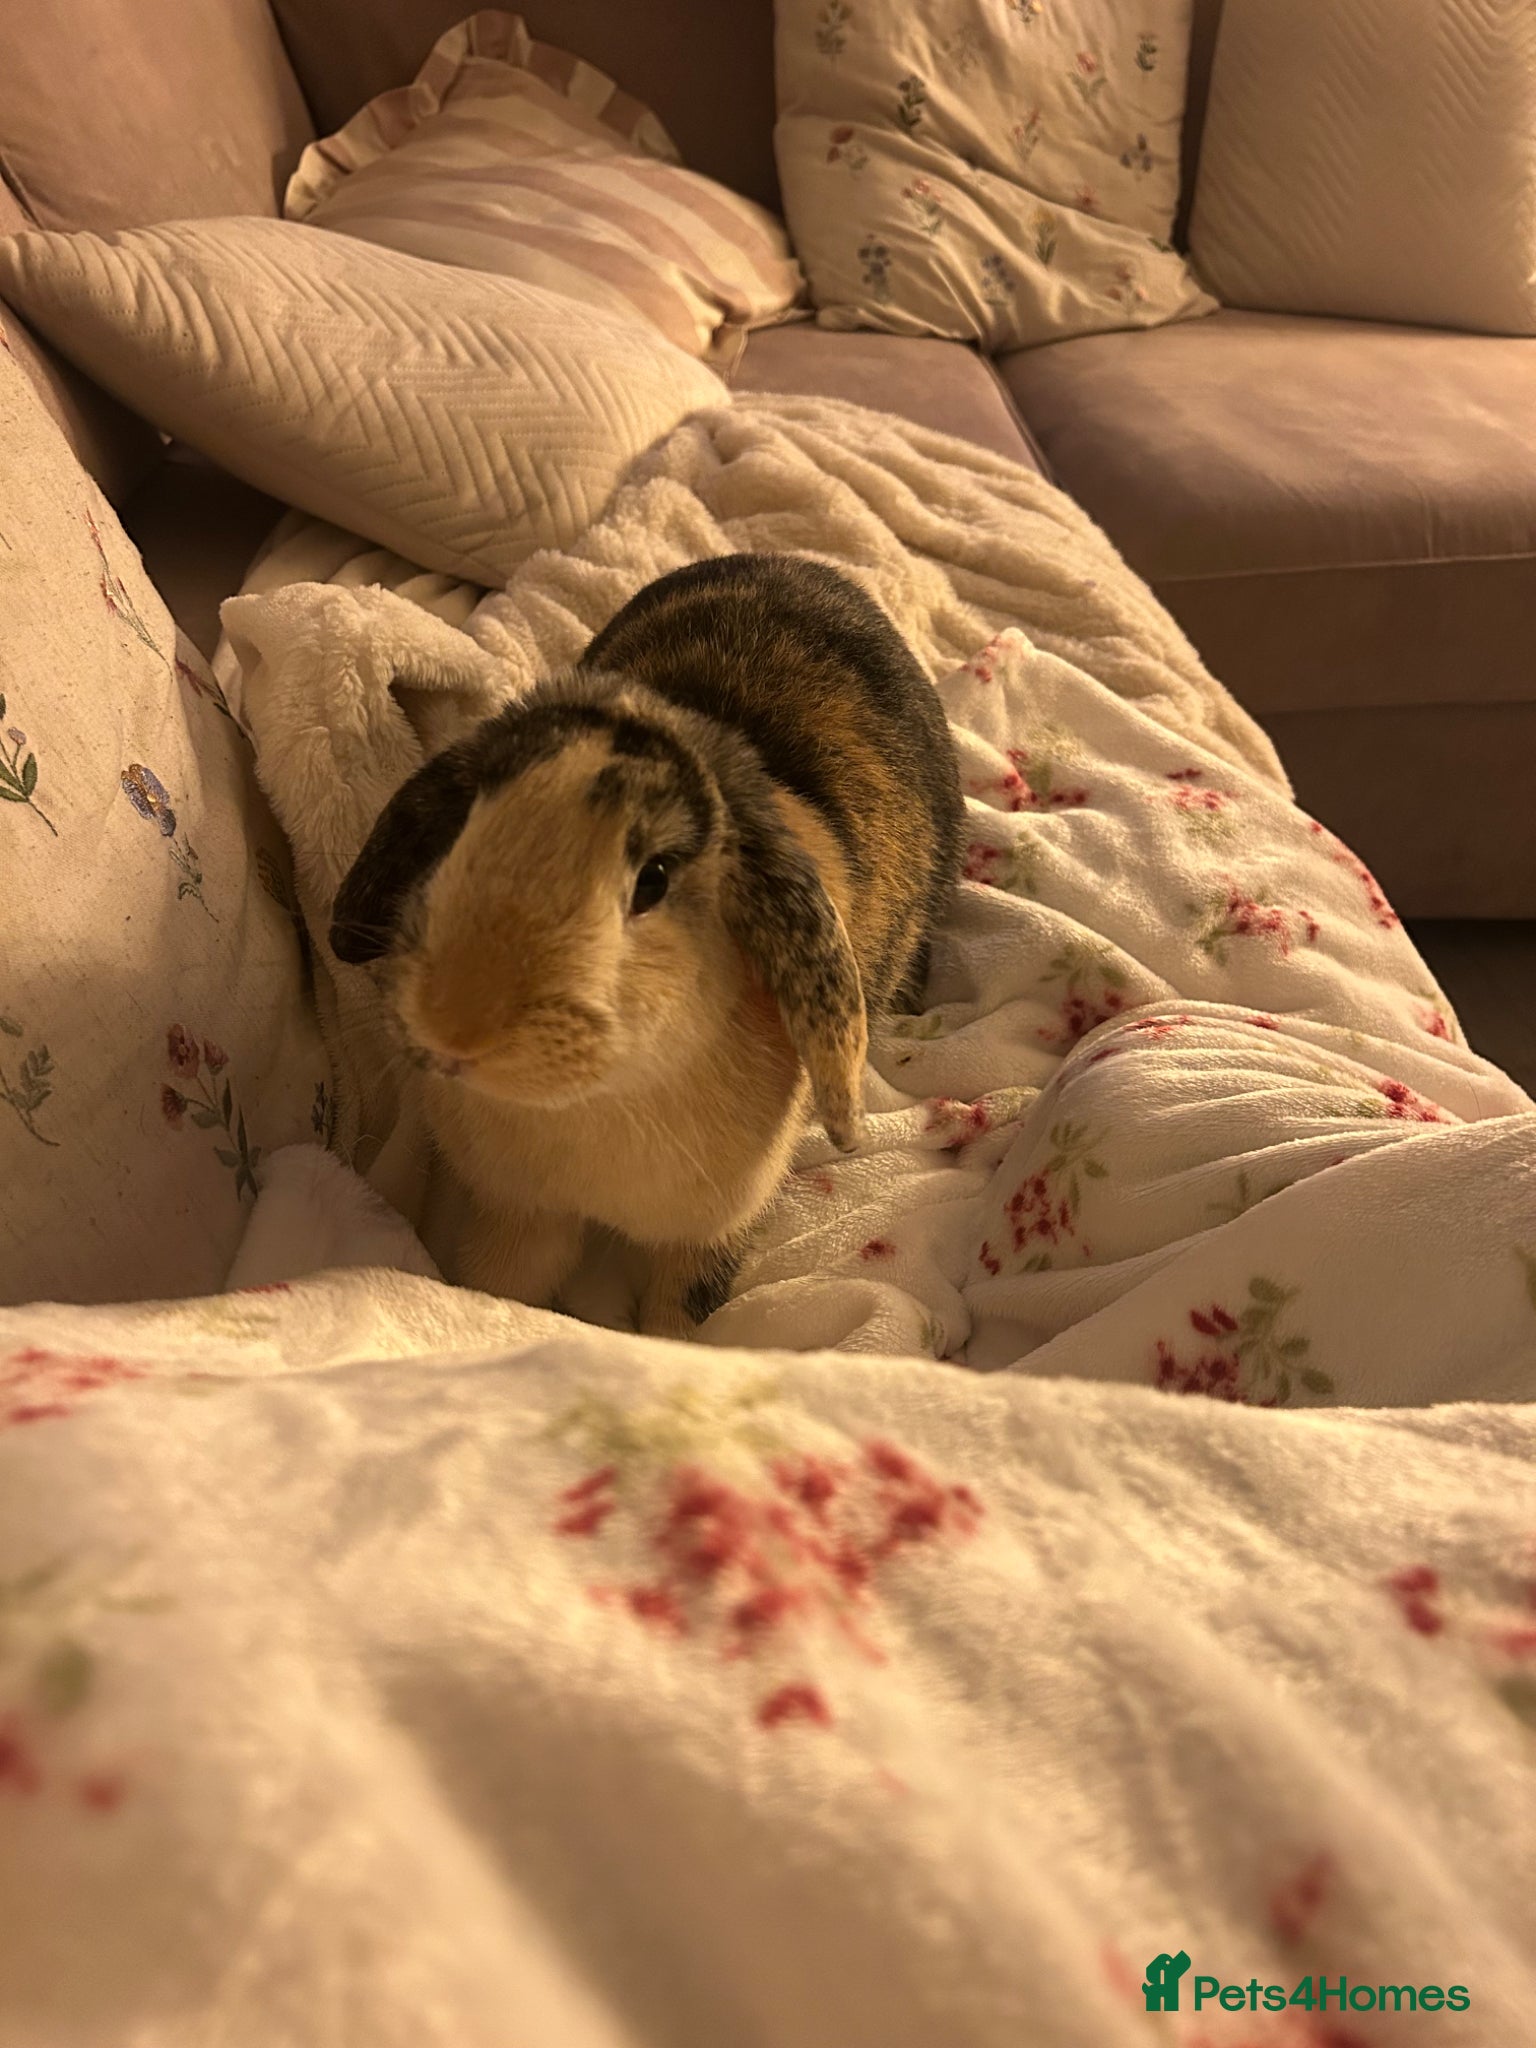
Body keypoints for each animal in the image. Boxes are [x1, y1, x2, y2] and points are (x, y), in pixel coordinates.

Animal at [329, 552, 963, 1338]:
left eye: (653, 880)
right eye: (464, 826)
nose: (454, 1030)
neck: (593, 1103)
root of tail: (802, 565)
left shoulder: (710, 1234)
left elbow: (679, 1312)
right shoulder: (521, 1213)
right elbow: (503, 1281)